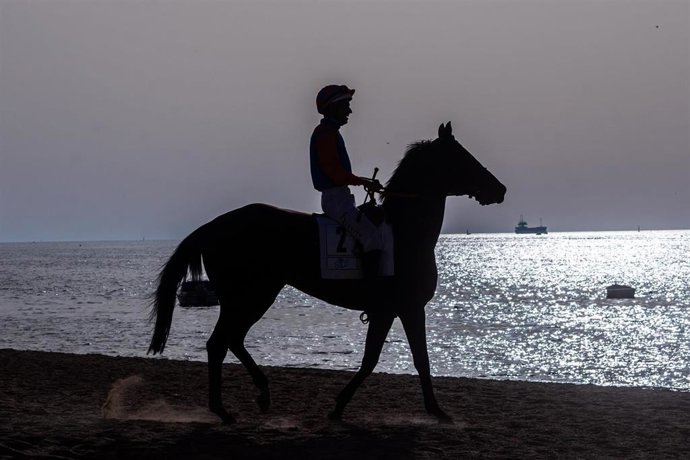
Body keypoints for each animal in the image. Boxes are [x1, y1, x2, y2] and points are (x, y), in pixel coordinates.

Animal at [148, 122, 506, 424]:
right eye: (462, 157)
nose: (499, 189)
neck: (404, 232)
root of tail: (213, 226)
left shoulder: (390, 310)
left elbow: (379, 358)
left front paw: (340, 406)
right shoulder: (406, 307)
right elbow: (411, 359)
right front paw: (435, 410)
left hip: (253, 297)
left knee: (231, 340)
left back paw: (261, 394)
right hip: (249, 296)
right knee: (219, 343)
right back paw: (222, 410)